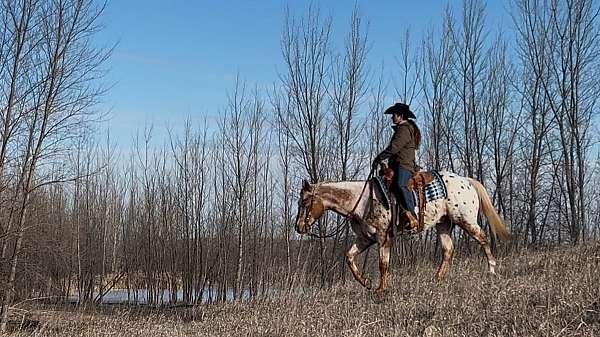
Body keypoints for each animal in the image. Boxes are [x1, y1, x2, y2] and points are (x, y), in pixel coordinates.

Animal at [292, 172, 508, 292]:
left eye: (304, 202)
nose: (298, 227)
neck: (363, 201)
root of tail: (467, 181)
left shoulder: (383, 238)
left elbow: (383, 264)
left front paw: (381, 289)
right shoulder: (365, 238)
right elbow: (349, 257)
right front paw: (366, 282)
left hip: (465, 220)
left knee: (483, 239)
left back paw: (491, 271)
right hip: (444, 224)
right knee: (448, 250)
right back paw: (436, 280)